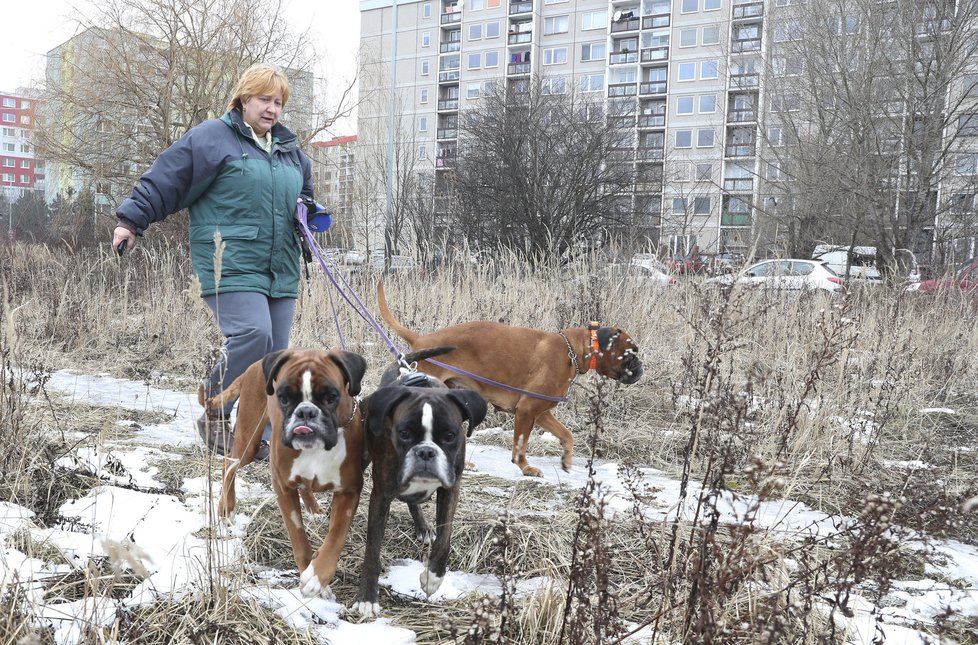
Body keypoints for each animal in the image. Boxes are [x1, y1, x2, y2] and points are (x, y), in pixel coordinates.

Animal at [200, 348, 368, 600]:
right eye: (284, 398)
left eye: (331, 396)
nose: (306, 412)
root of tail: (255, 364)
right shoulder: (283, 487)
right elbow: (298, 538)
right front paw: (312, 574)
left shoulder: (349, 491)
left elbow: (336, 537)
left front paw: (318, 577)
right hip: (248, 442)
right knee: (228, 465)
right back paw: (226, 509)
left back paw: (313, 507)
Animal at [350, 354, 488, 616]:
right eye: (403, 433)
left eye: (449, 436)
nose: (425, 451)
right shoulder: (381, 497)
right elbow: (372, 551)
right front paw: (367, 598)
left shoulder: (451, 488)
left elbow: (445, 536)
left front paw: (433, 577)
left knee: (414, 503)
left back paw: (423, 527)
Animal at [374, 284, 640, 476]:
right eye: (631, 352)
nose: (640, 368)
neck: (572, 350)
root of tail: (421, 340)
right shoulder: (527, 411)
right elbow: (520, 443)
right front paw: (525, 467)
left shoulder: (542, 413)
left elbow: (567, 434)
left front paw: (566, 459)